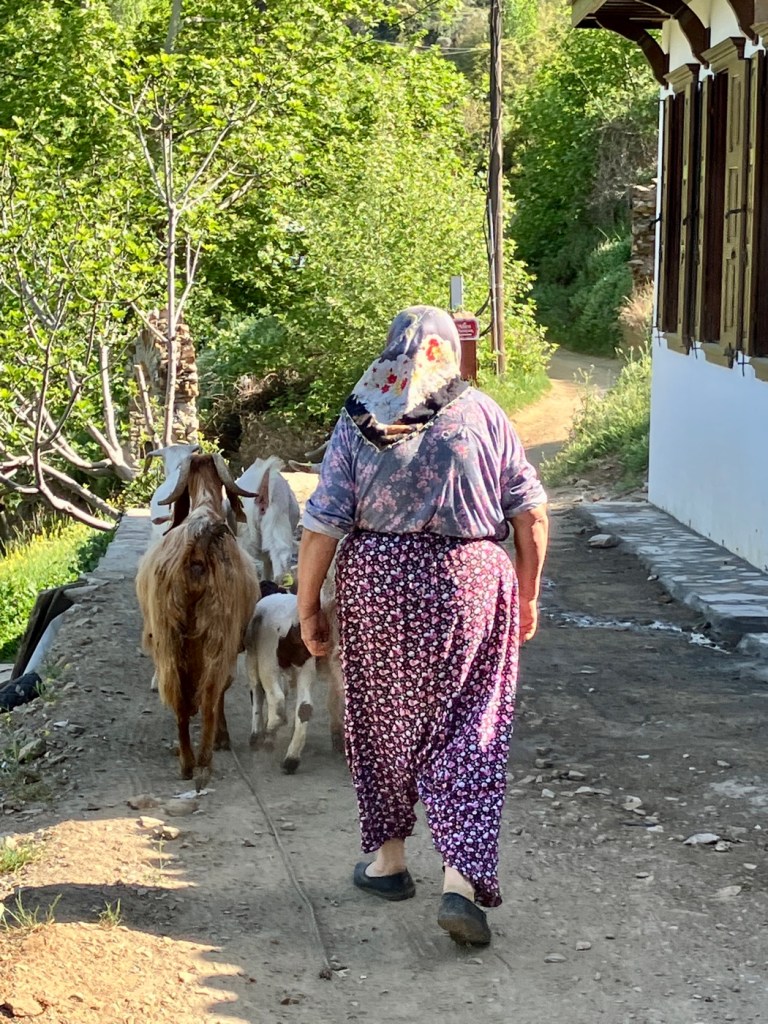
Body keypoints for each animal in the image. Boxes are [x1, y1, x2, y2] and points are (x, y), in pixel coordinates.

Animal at [136, 452, 260, 789]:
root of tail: (198, 544)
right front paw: (222, 739)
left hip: (170, 635)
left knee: (180, 696)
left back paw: (188, 763)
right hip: (217, 632)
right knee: (210, 692)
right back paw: (204, 759)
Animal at [245, 573, 343, 774]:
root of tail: (295, 620)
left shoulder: (252, 658)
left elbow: (256, 692)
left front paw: (256, 734)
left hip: (268, 661)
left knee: (276, 698)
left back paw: (273, 728)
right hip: (306, 667)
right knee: (305, 707)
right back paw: (291, 758)